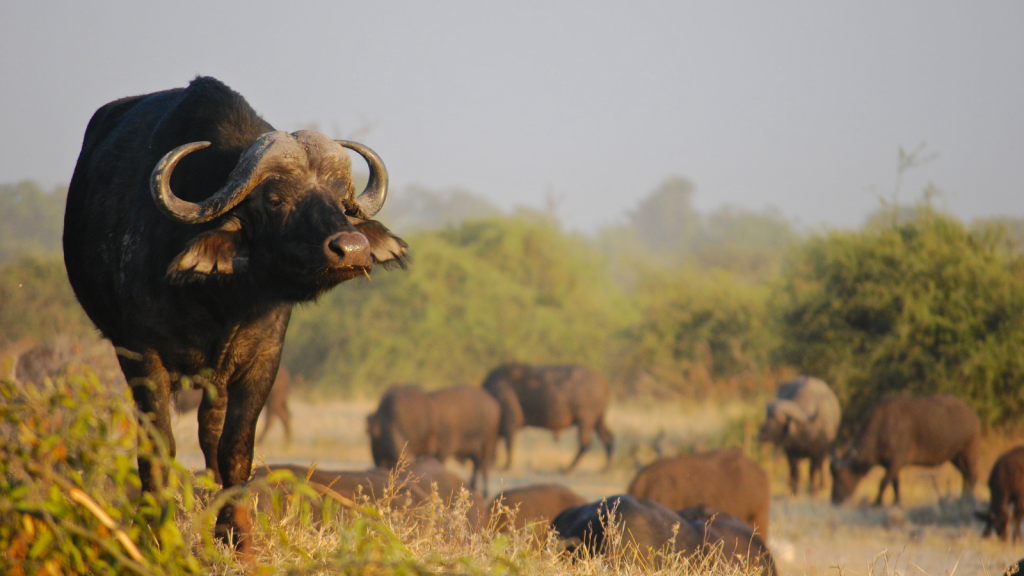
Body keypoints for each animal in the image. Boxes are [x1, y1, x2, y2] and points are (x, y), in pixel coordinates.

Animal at [481, 362, 614, 471]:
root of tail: (603, 382)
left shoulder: (510, 424)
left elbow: (509, 445)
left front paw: (506, 466)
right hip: (597, 421)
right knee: (608, 437)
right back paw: (606, 467)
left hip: (585, 421)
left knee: (585, 444)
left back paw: (568, 469)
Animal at [827, 391, 978, 504]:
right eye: (833, 476)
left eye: (840, 477)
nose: (834, 499)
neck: (883, 427)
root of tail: (972, 415)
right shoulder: (894, 465)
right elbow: (895, 484)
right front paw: (897, 501)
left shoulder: (896, 462)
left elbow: (883, 482)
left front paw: (877, 503)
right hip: (956, 457)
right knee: (965, 475)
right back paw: (962, 498)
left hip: (969, 452)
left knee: (972, 474)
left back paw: (969, 499)